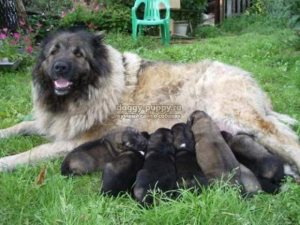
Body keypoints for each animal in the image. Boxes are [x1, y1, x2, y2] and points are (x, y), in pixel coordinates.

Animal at [0, 29, 300, 173]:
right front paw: (4, 133)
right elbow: (21, 127)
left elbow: (35, 151)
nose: (59, 68)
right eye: (54, 52)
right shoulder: (53, 123)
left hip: (239, 116)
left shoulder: (73, 141)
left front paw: (6, 162)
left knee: (287, 138)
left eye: (78, 54)